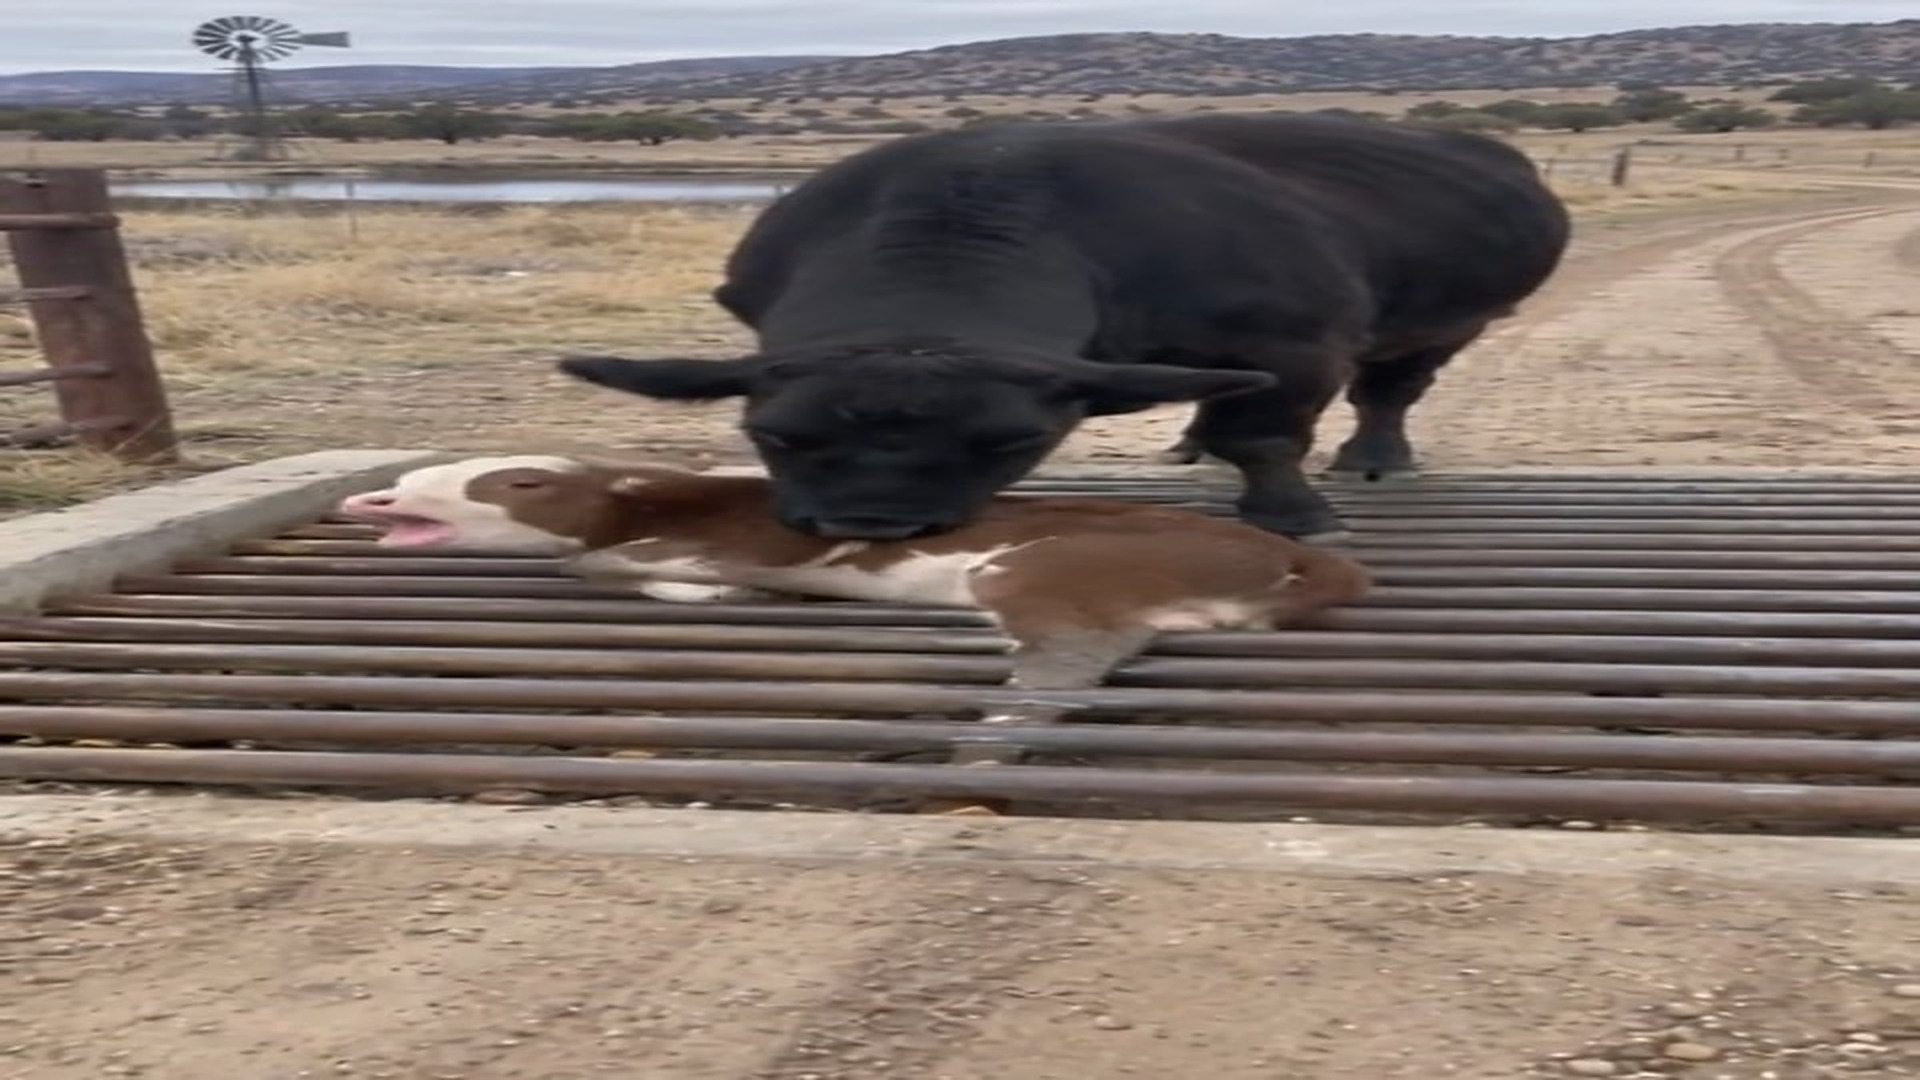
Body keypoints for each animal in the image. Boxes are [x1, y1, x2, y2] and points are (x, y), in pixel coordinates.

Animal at [554, 111, 1571, 543]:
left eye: (1011, 441)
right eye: (772, 435)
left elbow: (1265, 438)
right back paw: (1186, 444)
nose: (868, 522)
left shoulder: (1296, 346)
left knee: (1389, 390)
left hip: (1450, 322)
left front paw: (1293, 514)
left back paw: (1374, 456)